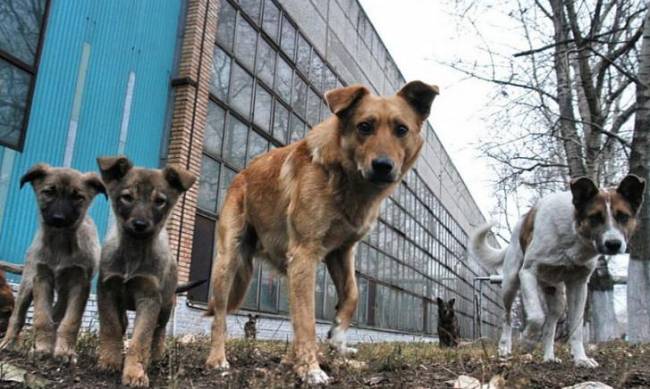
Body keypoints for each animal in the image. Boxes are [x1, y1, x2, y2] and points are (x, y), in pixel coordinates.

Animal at [0, 163, 105, 360]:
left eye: (78, 197)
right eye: (49, 192)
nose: (58, 218)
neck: (60, 243)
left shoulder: (80, 283)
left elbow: (71, 320)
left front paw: (65, 351)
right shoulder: (42, 278)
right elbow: (42, 317)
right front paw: (42, 347)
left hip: (64, 291)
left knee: (58, 313)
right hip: (28, 282)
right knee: (18, 316)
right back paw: (8, 342)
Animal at [94, 156, 195, 386]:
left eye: (159, 201)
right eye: (127, 197)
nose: (140, 224)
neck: (133, 251)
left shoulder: (149, 298)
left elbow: (140, 340)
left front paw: (135, 373)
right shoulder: (107, 290)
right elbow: (111, 327)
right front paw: (109, 361)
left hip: (166, 305)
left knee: (159, 331)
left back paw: (155, 356)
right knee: (123, 322)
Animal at [205, 79, 438, 382]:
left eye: (401, 129)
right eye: (364, 126)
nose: (383, 166)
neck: (345, 179)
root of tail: (241, 174)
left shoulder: (341, 252)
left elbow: (352, 294)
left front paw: (338, 337)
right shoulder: (305, 254)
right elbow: (307, 319)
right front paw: (311, 369)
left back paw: (289, 359)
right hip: (228, 261)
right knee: (220, 315)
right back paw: (218, 359)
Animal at [470, 174, 644, 366]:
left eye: (623, 216)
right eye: (595, 217)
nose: (613, 244)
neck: (573, 234)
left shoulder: (578, 285)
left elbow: (576, 327)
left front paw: (581, 359)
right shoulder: (528, 273)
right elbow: (536, 316)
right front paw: (527, 340)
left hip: (556, 297)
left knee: (550, 326)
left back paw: (549, 357)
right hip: (510, 284)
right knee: (506, 318)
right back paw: (504, 348)